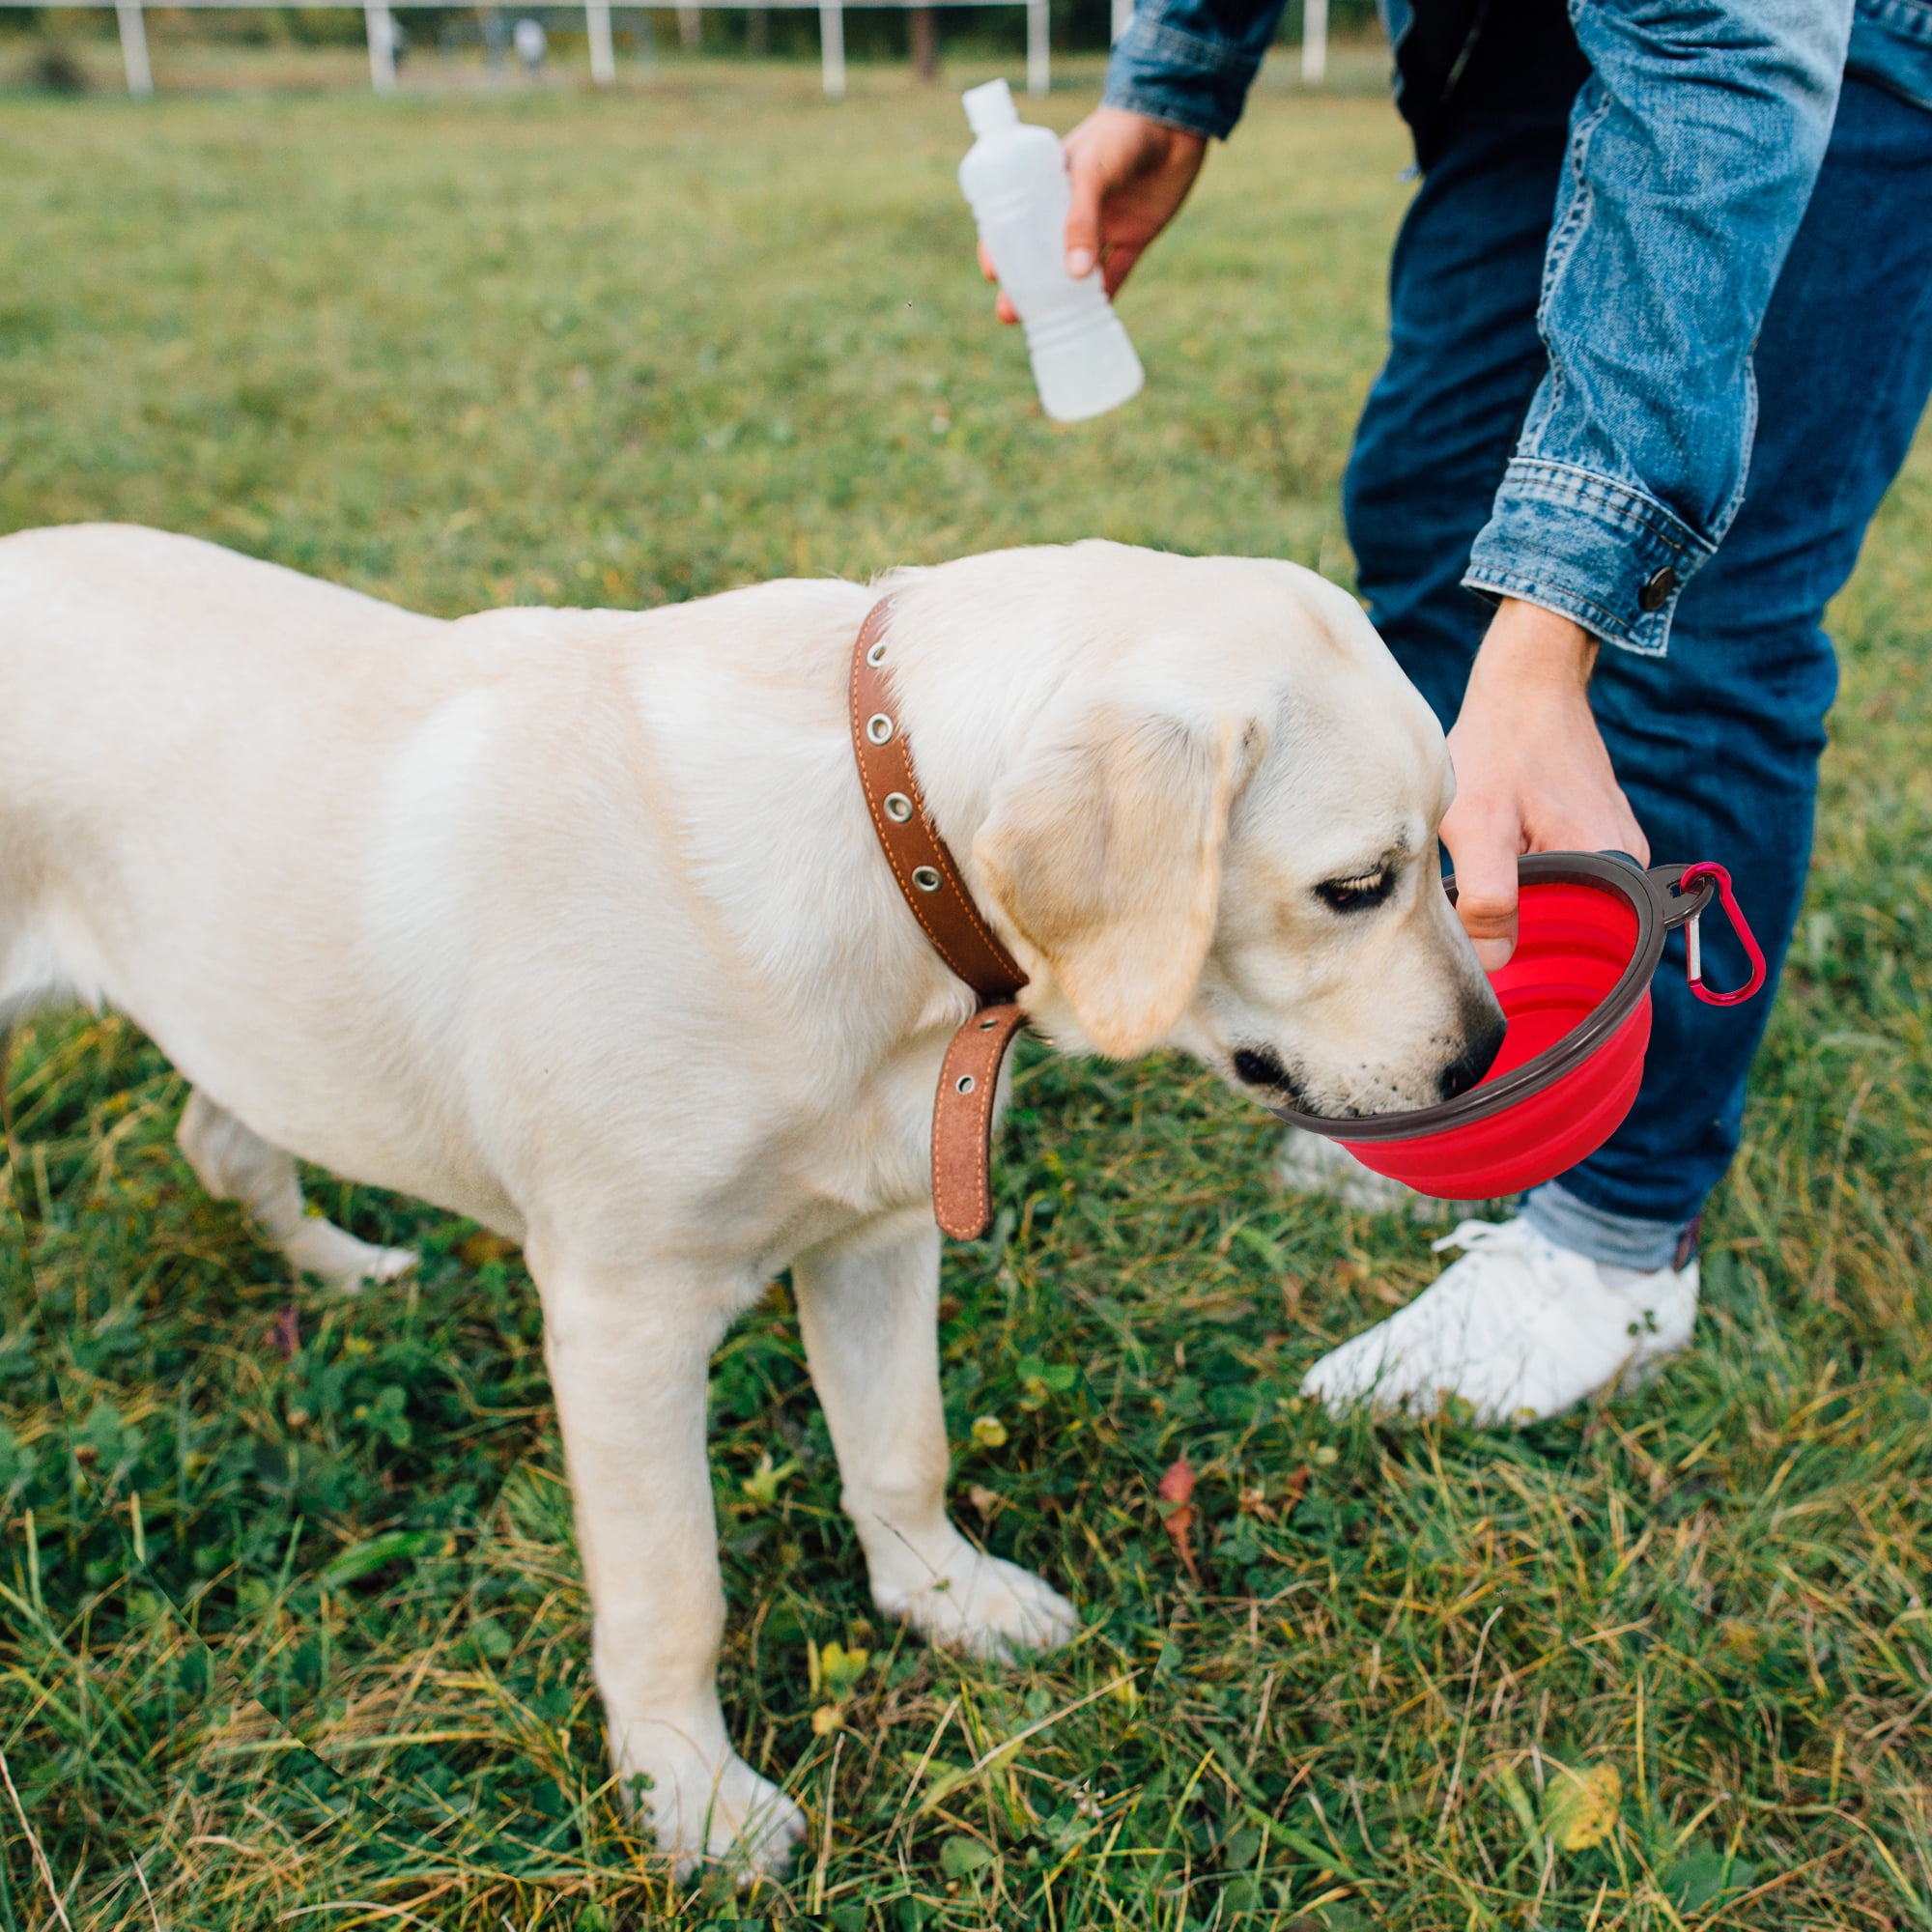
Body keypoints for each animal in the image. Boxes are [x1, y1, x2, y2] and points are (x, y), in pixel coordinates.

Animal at [0, 526, 1499, 1870]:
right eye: (1355, 886)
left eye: (1448, 849)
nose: (1483, 1054)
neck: (879, 842)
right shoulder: (623, 1323)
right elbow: (674, 1592)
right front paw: (691, 1796)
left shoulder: (879, 1237)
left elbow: (903, 1449)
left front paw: (943, 1595)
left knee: (223, 1137)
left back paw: (344, 1267)